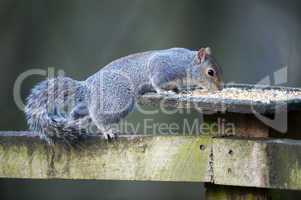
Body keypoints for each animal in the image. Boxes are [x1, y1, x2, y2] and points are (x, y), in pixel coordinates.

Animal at [24, 47, 223, 144]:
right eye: (210, 72)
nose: (220, 89)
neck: (186, 63)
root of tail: (88, 87)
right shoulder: (161, 67)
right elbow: (157, 84)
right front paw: (165, 92)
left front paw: (180, 90)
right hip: (118, 101)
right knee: (98, 117)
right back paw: (106, 130)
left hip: (98, 103)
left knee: (79, 113)